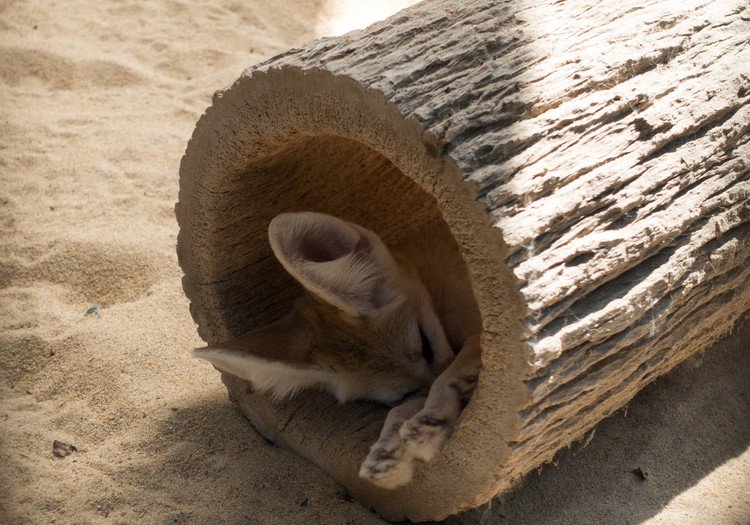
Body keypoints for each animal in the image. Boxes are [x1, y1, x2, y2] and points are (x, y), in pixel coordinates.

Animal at [194, 210, 484, 488]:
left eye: (426, 345)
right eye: (405, 393)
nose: (468, 399)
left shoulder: (480, 330)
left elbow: (456, 365)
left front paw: (431, 421)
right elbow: (400, 411)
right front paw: (391, 449)